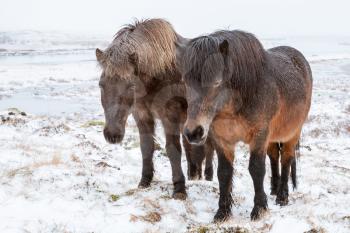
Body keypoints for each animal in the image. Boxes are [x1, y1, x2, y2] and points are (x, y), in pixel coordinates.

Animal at [96, 19, 216, 199]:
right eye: (101, 85)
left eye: (130, 86)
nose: (112, 134)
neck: (161, 71)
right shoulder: (142, 115)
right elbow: (146, 146)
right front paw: (145, 181)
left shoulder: (170, 116)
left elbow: (173, 149)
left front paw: (179, 189)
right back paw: (194, 175)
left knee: (208, 148)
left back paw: (207, 178)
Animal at [178, 30, 312, 221]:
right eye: (185, 81)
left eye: (217, 82)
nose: (193, 132)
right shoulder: (223, 139)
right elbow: (224, 173)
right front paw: (223, 212)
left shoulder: (259, 135)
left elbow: (256, 169)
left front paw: (259, 209)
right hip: (272, 137)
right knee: (274, 157)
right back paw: (273, 190)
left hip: (292, 133)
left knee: (286, 159)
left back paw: (282, 197)